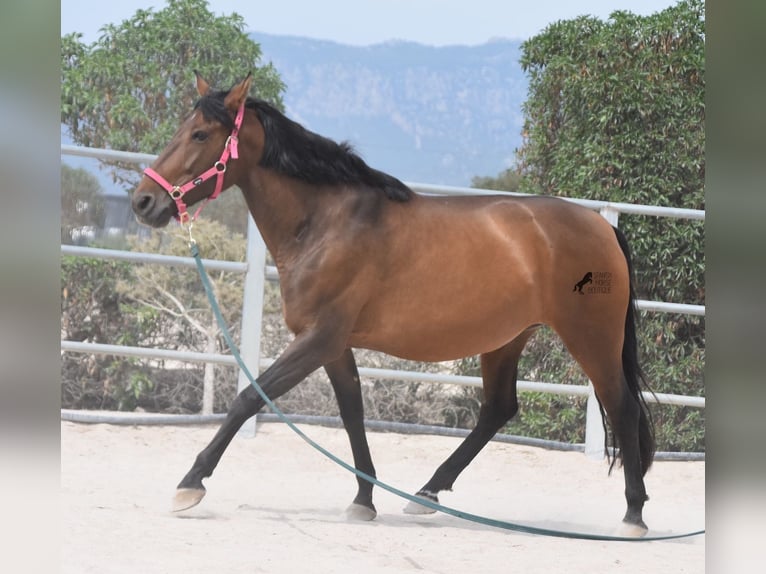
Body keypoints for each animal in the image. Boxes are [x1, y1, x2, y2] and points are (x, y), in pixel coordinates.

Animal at [130, 74, 656, 536]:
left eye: (200, 133)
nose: (143, 201)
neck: (326, 223)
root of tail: (602, 226)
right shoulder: (333, 346)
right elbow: (352, 414)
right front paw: (363, 500)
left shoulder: (318, 339)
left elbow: (247, 399)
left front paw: (190, 484)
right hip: (505, 339)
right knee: (498, 409)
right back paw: (426, 494)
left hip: (591, 338)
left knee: (622, 407)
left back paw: (634, 515)